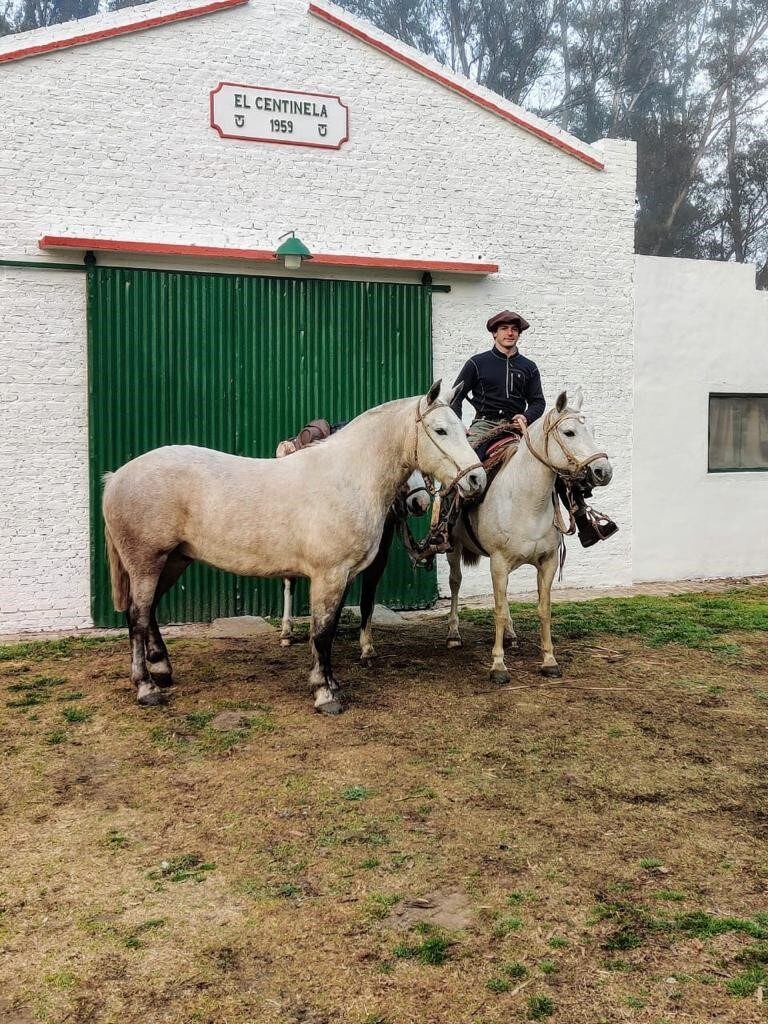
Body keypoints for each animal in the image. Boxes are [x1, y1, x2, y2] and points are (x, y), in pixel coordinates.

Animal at [278, 468, 434, 647]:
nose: (420, 502)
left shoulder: (378, 556)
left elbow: (365, 600)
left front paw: (366, 646)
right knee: (289, 583)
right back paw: (286, 633)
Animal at [444, 387, 614, 684]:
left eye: (592, 429)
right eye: (569, 432)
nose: (603, 471)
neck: (527, 500)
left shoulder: (547, 562)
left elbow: (543, 610)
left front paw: (549, 661)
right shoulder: (499, 562)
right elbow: (498, 612)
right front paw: (498, 666)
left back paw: (511, 636)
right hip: (454, 549)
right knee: (455, 583)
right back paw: (454, 634)